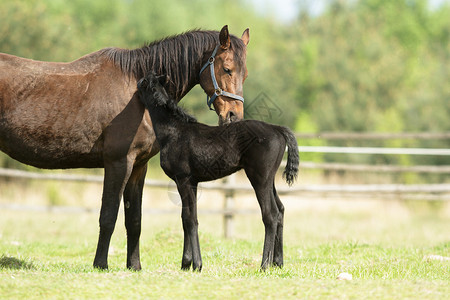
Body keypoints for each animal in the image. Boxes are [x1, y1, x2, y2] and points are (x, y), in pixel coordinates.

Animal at [0, 24, 250, 270]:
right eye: (227, 69)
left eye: (245, 74)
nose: (233, 116)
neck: (135, 91)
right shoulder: (119, 163)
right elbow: (108, 216)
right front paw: (101, 264)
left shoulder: (139, 167)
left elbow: (134, 220)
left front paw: (134, 265)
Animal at [137, 73, 298, 272]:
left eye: (145, 82)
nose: (137, 83)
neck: (174, 132)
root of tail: (277, 129)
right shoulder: (192, 183)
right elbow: (186, 217)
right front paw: (186, 264)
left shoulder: (183, 179)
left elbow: (190, 219)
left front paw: (197, 264)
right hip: (270, 180)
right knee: (281, 210)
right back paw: (278, 262)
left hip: (259, 179)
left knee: (271, 215)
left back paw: (264, 265)